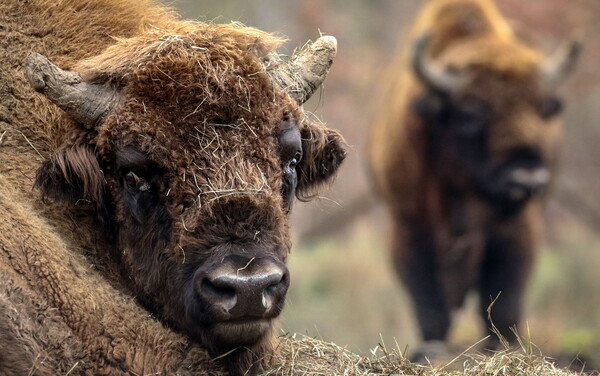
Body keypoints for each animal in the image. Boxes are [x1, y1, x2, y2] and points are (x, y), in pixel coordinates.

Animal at [368, 0, 580, 356]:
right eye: (469, 115)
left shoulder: (516, 232)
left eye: (543, 109)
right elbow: (431, 309)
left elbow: (502, 306)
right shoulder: (410, 230)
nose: (527, 176)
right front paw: (431, 351)